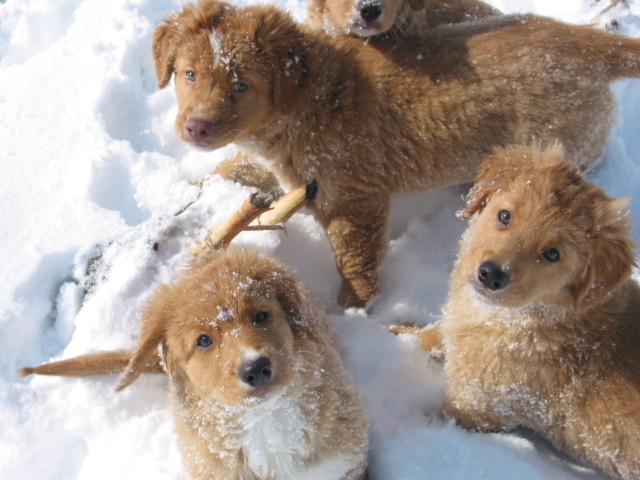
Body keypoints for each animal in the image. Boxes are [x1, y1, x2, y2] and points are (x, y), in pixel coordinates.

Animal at [154, 0, 640, 308]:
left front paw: (351, 311)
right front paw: (204, 185)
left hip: (570, 140)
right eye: (189, 75)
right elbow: (243, 170)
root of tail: (587, 42)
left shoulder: (355, 198)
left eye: (242, 86)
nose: (196, 128)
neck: (307, 102)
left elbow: (355, 263)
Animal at [392, 146, 640, 480]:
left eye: (553, 254)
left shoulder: (473, 407)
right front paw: (395, 331)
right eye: (505, 216)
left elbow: (431, 423)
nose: (491, 275)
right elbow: (433, 335)